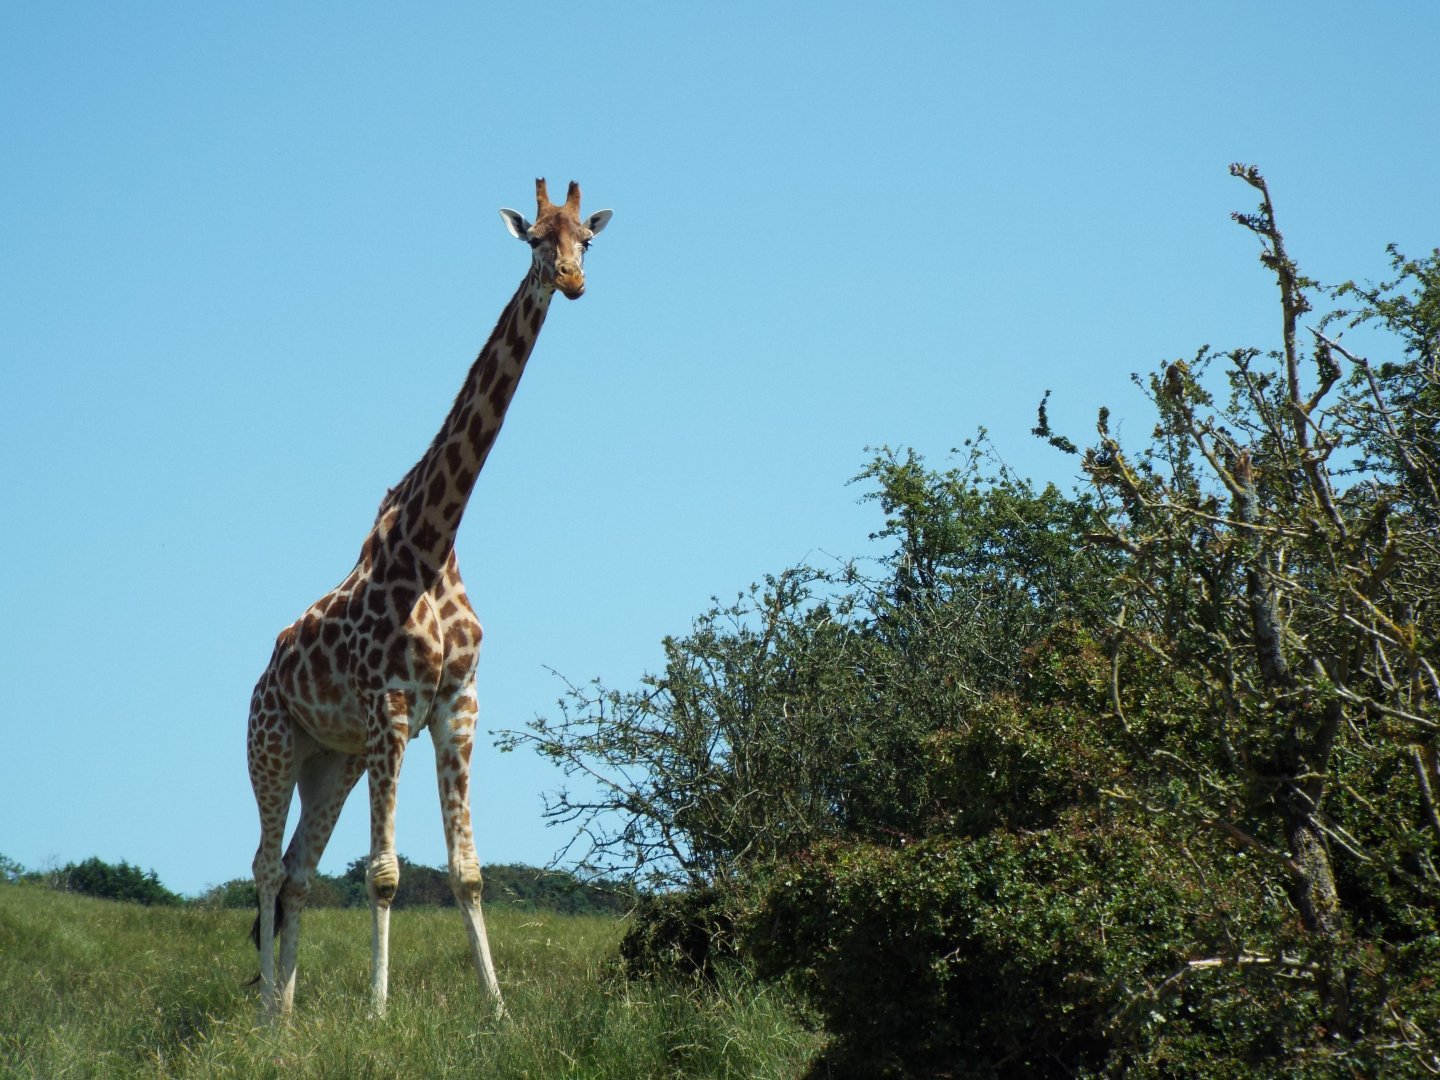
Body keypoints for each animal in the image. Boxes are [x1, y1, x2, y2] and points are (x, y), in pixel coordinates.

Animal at [246, 179, 612, 1019]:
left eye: (587, 238)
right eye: (534, 239)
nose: (572, 281)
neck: (433, 542)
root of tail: (264, 677)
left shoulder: (459, 703)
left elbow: (466, 870)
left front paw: (500, 1013)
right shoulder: (391, 703)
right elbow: (384, 874)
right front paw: (379, 1016)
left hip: (332, 761)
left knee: (299, 872)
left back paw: (286, 1018)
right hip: (271, 743)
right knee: (266, 867)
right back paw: (264, 1017)